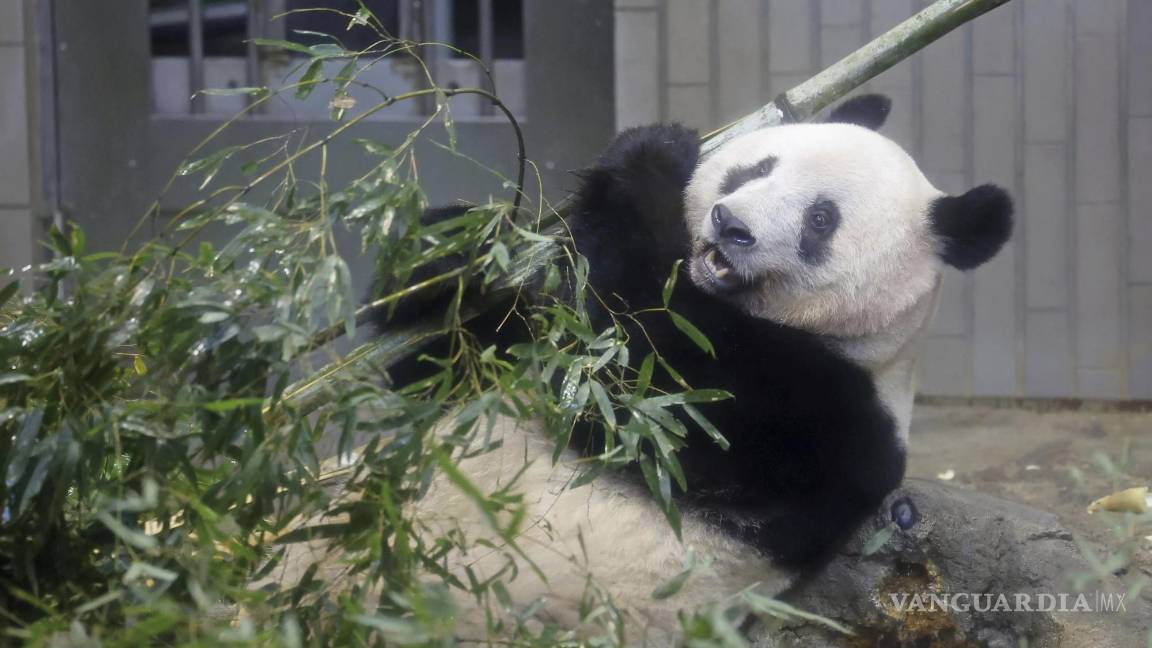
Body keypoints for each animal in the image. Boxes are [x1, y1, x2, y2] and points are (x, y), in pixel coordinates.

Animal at [359, 94, 1014, 641]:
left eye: (821, 219)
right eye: (759, 169)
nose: (731, 225)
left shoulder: (815, 418)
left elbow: (639, 380)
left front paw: (654, 158)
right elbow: (460, 360)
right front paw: (451, 254)